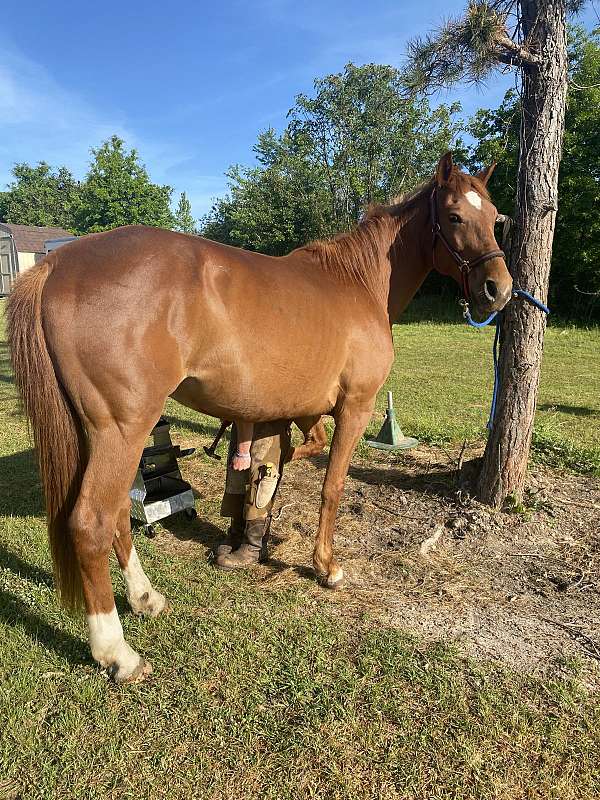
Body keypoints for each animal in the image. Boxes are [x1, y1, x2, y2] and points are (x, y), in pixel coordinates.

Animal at [7, 153, 508, 680]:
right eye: (454, 216)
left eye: (495, 218)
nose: (499, 290)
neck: (357, 282)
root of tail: (57, 264)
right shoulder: (356, 407)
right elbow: (331, 486)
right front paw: (326, 566)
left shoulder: (299, 411)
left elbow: (285, 459)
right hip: (121, 431)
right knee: (92, 522)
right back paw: (116, 651)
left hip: (98, 435)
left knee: (119, 513)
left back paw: (145, 598)